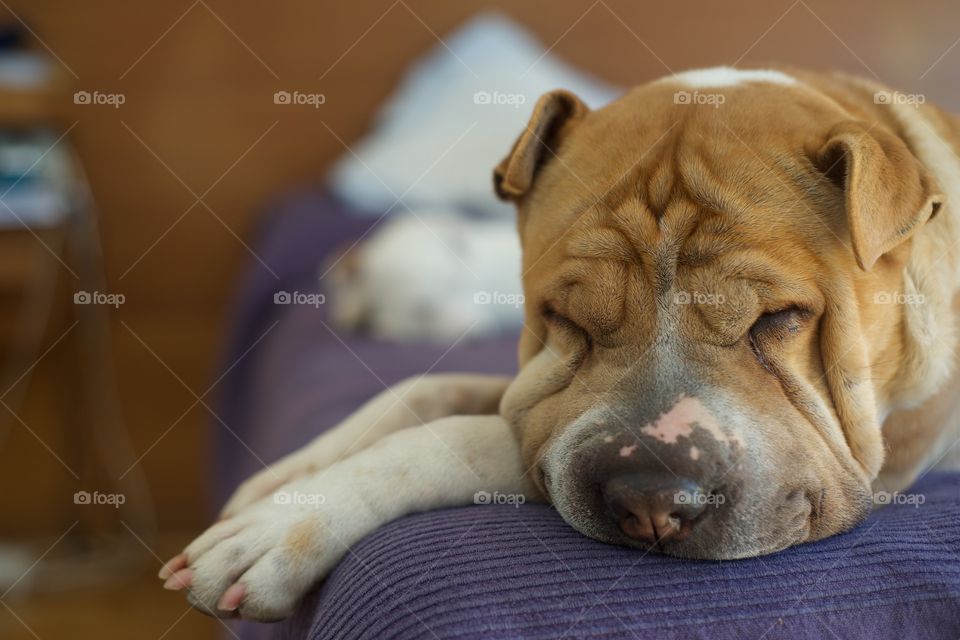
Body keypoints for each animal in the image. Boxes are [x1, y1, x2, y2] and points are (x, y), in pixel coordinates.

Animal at [158, 69, 960, 620]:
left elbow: (457, 435)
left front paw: (282, 527)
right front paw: (286, 478)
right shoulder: (536, 383)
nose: (652, 499)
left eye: (779, 318)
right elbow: (422, 388)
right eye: (565, 318)